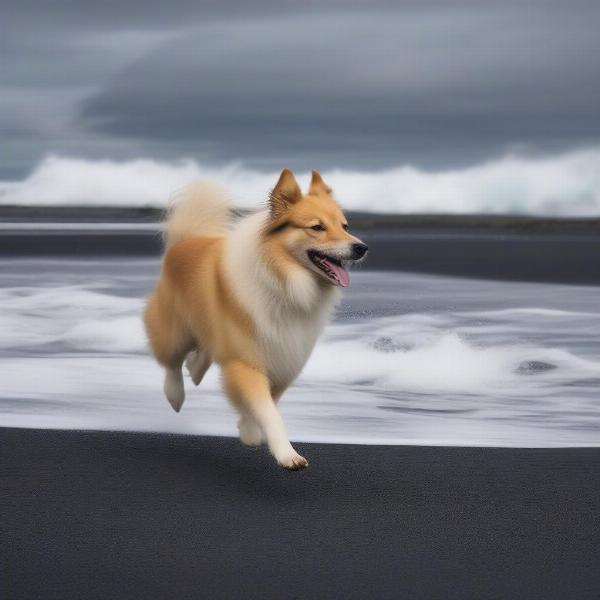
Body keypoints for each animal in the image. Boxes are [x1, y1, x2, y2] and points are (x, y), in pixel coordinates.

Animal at [145, 168, 368, 468]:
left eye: (344, 226)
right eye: (317, 227)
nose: (361, 248)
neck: (284, 282)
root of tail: (187, 239)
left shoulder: (284, 358)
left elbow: (264, 404)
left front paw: (249, 432)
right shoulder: (246, 362)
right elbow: (268, 411)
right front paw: (287, 454)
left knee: (202, 352)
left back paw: (195, 368)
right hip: (175, 329)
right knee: (171, 361)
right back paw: (175, 394)